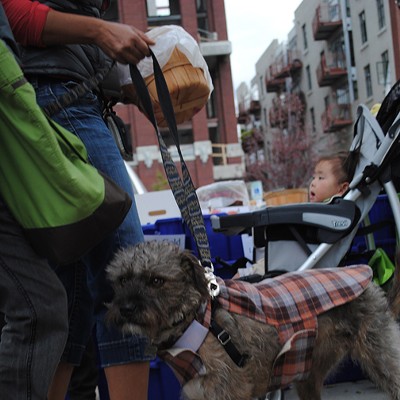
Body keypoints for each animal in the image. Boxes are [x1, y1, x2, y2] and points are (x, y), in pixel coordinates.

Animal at [107, 241, 400, 400]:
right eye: (122, 280)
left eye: (157, 280)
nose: (126, 308)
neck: (198, 321)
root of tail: (363, 272)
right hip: (306, 374)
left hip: (382, 359)